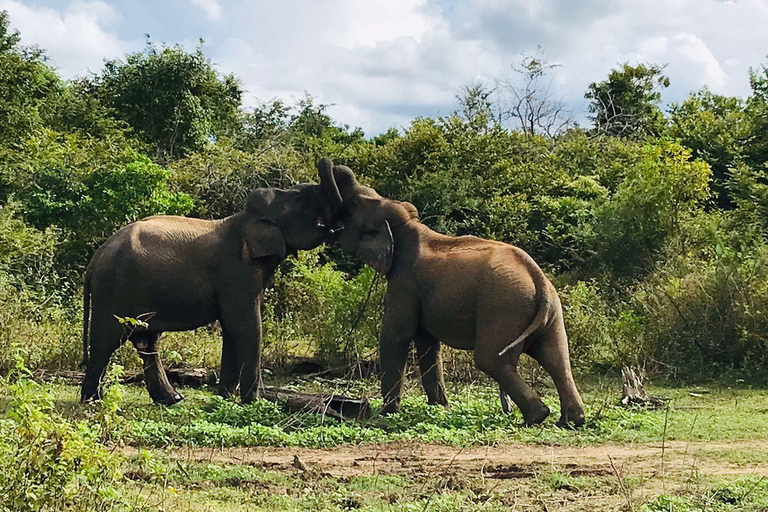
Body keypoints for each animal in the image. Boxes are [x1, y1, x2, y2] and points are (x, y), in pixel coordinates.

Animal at [80, 164, 340, 404]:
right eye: (299, 199)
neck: (244, 218)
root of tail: (95, 260)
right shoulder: (236, 271)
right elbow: (244, 326)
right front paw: (252, 404)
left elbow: (231, 328)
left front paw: (225, 399)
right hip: (113, 289)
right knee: (106, 342)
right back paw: (93, 401)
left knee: (145, 341)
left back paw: (172, 399)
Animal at [320, 158, 584, 426]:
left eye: (354, 205)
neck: (408, 226)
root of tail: (537, 278)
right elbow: (427, 342)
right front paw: (439, 407)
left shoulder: (405, 281)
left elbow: (397, 335)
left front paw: (387, 414)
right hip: (549, 312)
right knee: (557, 359)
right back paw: (570, 422)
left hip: (503, 308)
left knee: (491, 359)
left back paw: (536, 417)